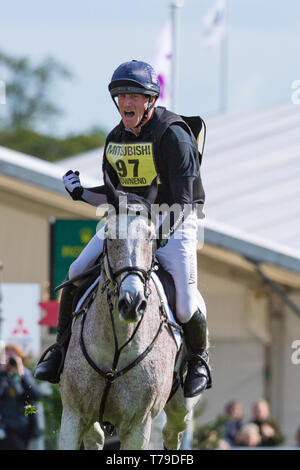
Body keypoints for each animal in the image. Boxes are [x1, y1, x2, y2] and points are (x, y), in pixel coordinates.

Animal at [58, 178, 202, 450]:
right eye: (108, 234)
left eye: (151, 238)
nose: (132, 303)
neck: (116, 343)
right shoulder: (73, 416)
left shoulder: (138, 427)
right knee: (96, 437)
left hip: (181, 407)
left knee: (173, 432)